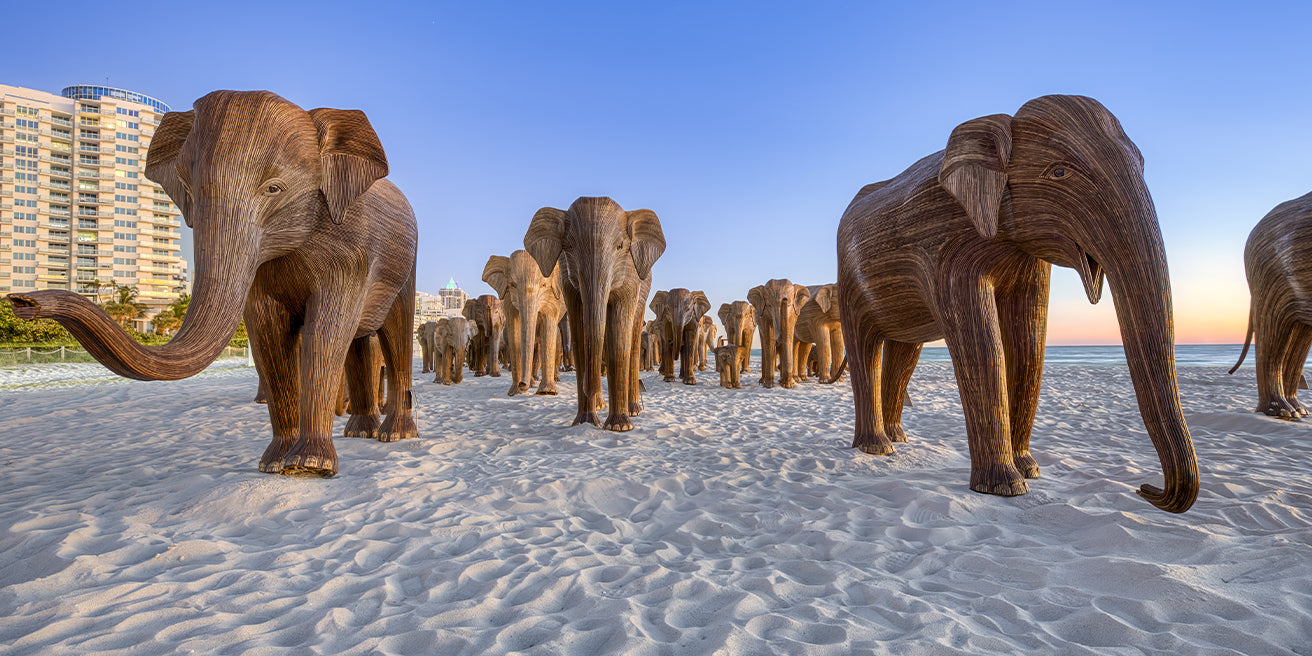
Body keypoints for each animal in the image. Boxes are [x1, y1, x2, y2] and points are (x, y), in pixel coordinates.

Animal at [7, 90, 419, 477]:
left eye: (274, 188)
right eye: (187, 188)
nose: (21, 302)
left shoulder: (349, 249)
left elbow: (325, 334)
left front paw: (310, 467)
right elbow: (266, 336)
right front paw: (274, 466)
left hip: (407, 263)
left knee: (394, 334)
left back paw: (394, 435)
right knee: (360, 342)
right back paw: (360, 433)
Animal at [483, 250, 565, 396]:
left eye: (543, 285)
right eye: (512, 285)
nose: (522, 383)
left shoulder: (554, 297)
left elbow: (548, 325)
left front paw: (547, 392)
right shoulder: (507, 298)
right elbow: (514, 331)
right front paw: (515, 392)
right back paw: (531, 384)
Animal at [524, 196, 666, 431]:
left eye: (620, 246)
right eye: (569, 246)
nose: (590, 388)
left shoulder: (630, 276)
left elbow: (619, 341)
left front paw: (620, 427)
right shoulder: (566, 278)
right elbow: (581, 338)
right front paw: (585, 422)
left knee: (632, 340)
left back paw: (633, 411)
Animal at [834, 94, 1198, 513]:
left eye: (1142, 164)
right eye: (1059, 172)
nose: (1144, 488)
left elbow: (1029, 345)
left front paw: (1030, 470)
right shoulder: (947, 245)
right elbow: (982, 347)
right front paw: (1006, 486)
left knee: (906, 350)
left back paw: (899, 439)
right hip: (849, 276)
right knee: (864, 345)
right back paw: (877, 449)